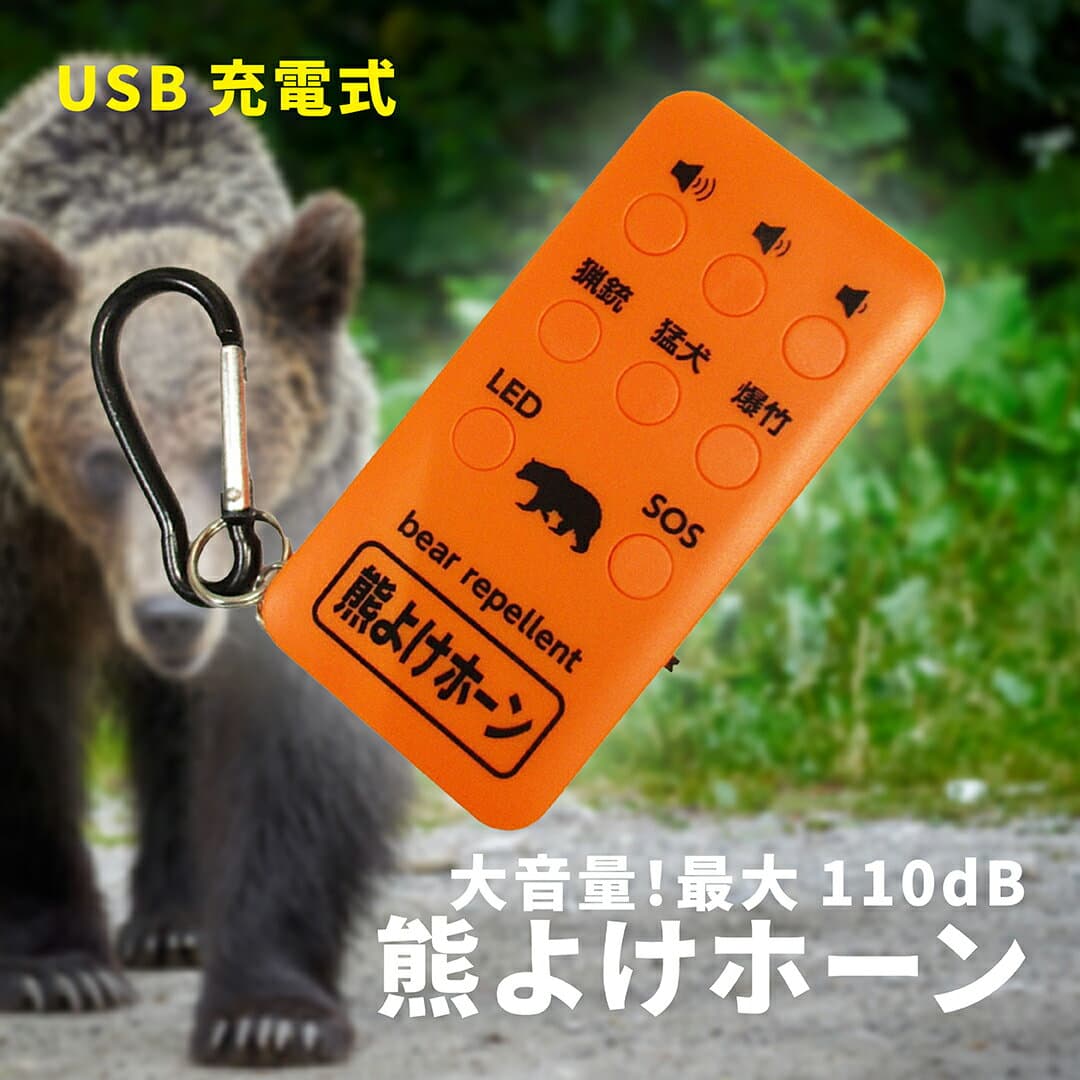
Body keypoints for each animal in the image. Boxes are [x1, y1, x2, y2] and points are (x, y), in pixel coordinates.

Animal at [0, 58, 410, 1067]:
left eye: (236, 443)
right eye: (102, 458)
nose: (171, 613)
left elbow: (288, 760)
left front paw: (269, 1012)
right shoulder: (24, 538)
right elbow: (21, 725)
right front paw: (55, 967)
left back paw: (178, 921)